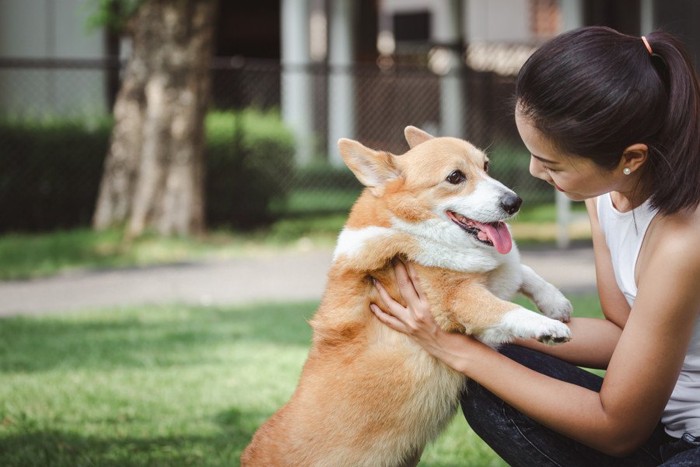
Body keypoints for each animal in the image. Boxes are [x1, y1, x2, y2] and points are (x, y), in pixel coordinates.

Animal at [243, 127, 572, 467]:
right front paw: (548, 327)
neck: (415, 228)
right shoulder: (457, 300)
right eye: (455, 177)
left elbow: (521, 270)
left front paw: (554, 302)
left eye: (486, 166)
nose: (514, 202)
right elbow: (504, 307)